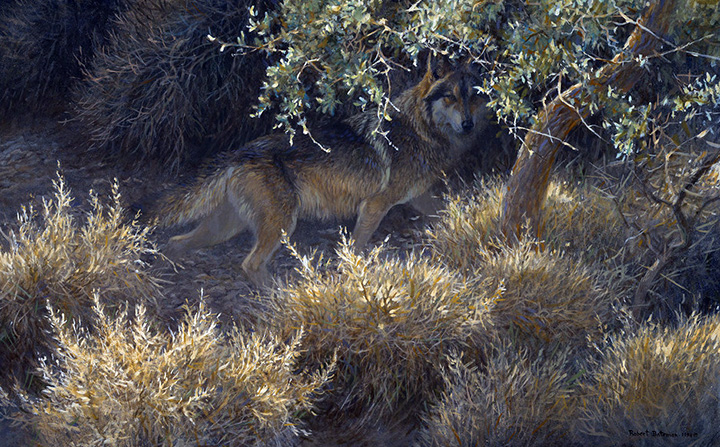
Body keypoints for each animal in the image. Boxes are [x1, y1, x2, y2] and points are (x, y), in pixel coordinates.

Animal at [159, 58, 487, 286]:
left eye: (473, 97)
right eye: (450, 97)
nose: (469, 125)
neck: (420, 131)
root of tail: (238, 153)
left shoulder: (418, 197)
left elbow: (447, 210)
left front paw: (464, 224)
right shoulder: (374, 205)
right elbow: (357, 247)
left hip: (224, 228)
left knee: (176, 243)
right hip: (280, 225)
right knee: (250, 264)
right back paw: (279, 297)